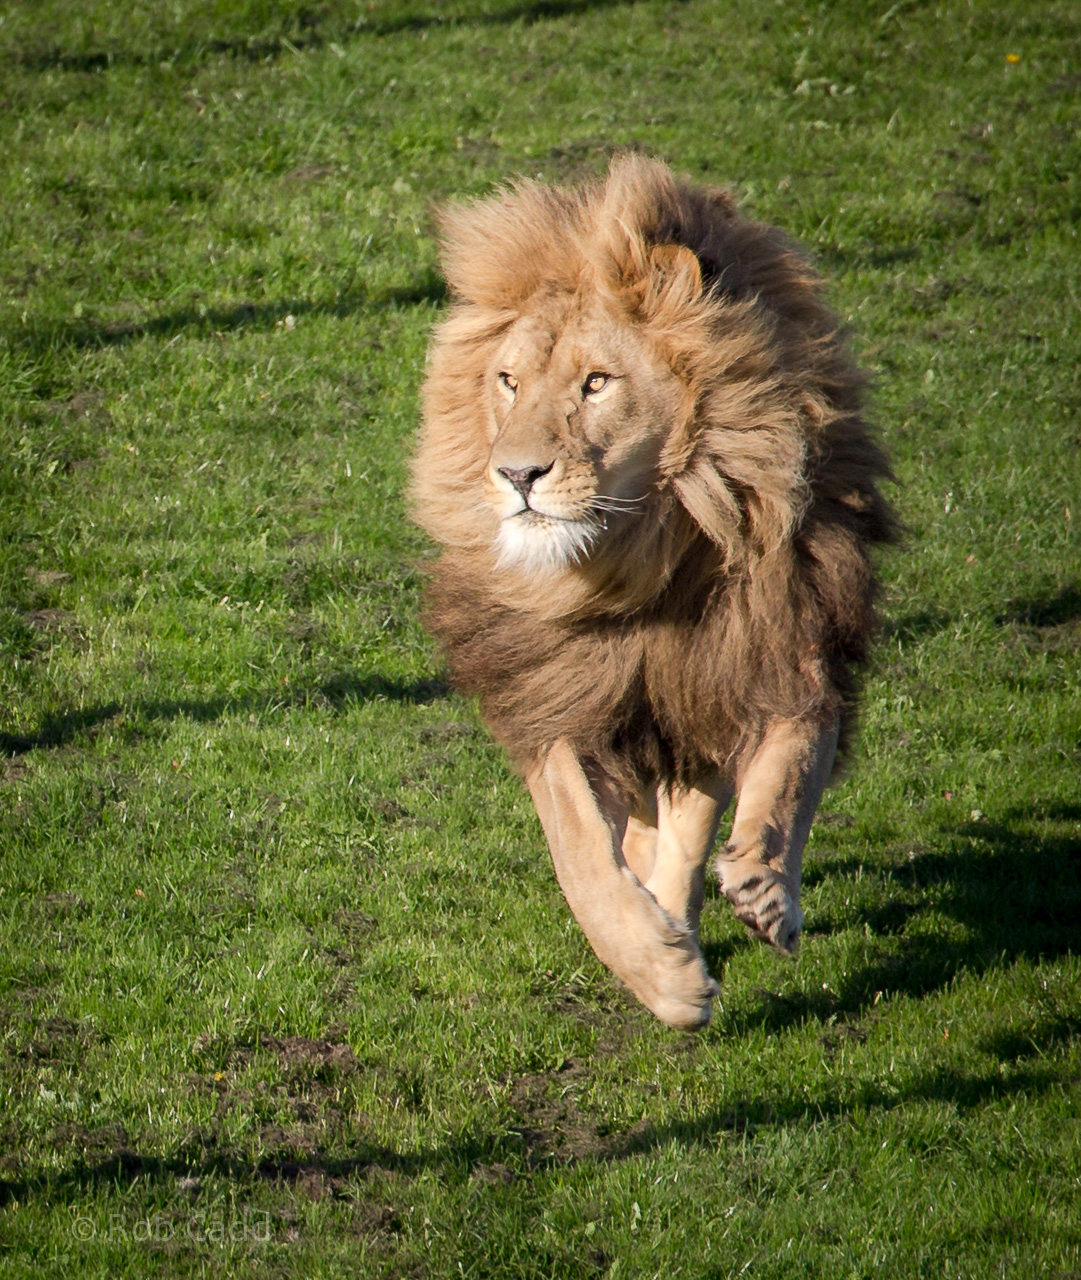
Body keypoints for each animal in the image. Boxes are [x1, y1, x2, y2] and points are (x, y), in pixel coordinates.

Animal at [410, 156, 895, 1029]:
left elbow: (792, 768)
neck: (636, 553)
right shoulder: (560, 689)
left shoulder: (775, 642)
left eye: (596, 383)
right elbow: (576, 845)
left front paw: (765, 888)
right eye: (507, 381)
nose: (516, 475)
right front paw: (658, 972)